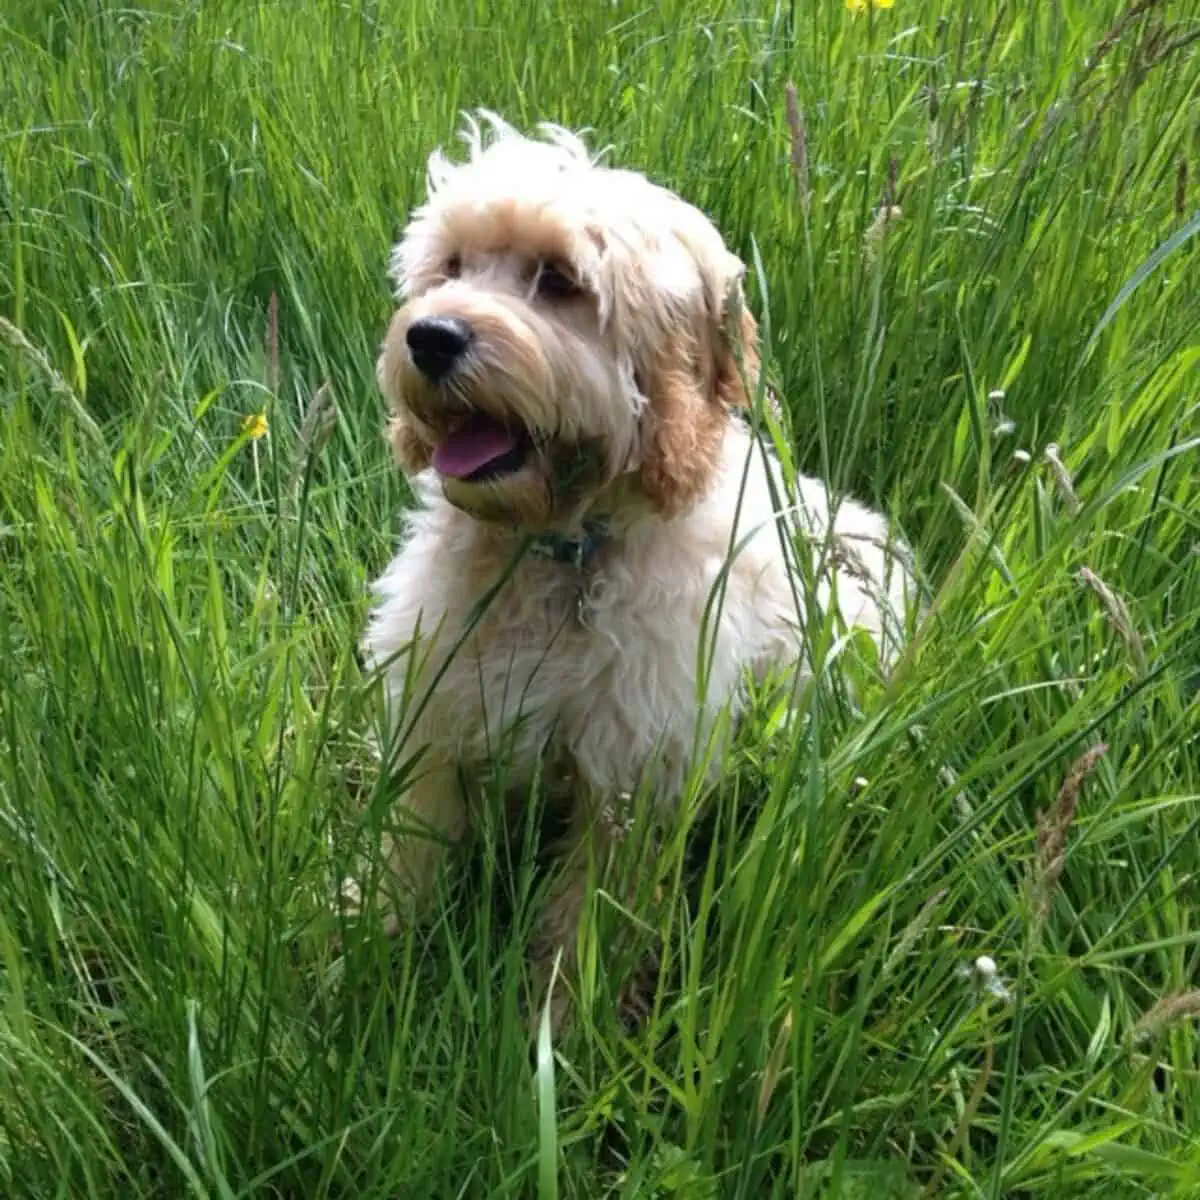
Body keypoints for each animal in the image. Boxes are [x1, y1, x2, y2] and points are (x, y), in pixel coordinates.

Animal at [350, 112, 912, 1027]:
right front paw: (363, 954)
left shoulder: (633, 779)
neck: (555, 551)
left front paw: (557, 1030)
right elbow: (407, 856)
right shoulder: (437, 717)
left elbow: (587, 922)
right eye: (452, 267)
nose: (428, 337)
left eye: (560, 280)